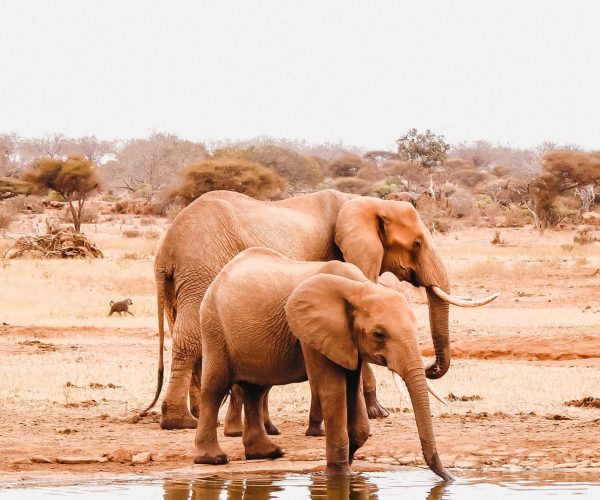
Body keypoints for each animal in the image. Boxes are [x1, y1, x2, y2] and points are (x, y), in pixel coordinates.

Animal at [144, 188, 496, 430]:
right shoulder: (343, 259)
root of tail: (165, 250)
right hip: (201, 267)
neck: (366, 202)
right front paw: (378, 413)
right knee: (190, 337)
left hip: (185, 279)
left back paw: (203, 416)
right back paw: (182, 422)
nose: (431, 368)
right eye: (417, 244)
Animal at [195, 247, 452, 480]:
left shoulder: (347, 340)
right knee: (216, 388)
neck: (359, 288)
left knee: (255, 390)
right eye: (379, 335)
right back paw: (213, 459)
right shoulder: (312, 333)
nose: (448, 477)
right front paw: (339, 475)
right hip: (214, 326)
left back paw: (267, 454)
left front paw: (350, 466)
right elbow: (333, 390)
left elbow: (353, 391)